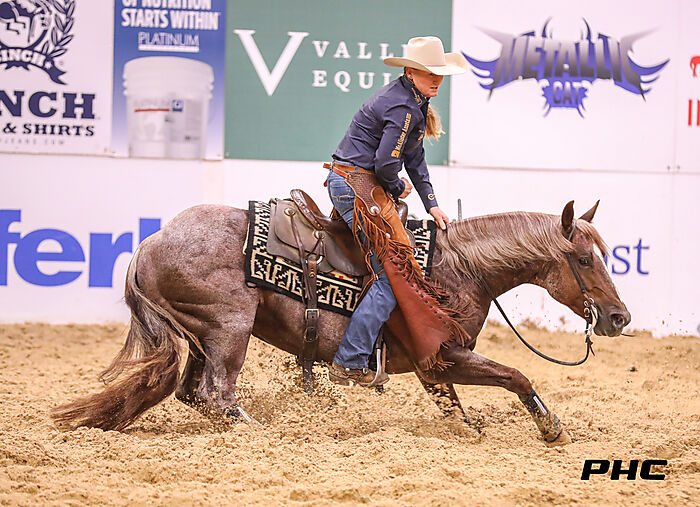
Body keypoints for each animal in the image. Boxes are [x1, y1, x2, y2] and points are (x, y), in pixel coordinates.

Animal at [52, 199, 631, 444]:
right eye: (584, 258)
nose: (619, 317)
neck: (457, 269)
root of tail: (149, 243)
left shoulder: (434, 369)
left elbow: (456, 410)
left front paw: (472, 430)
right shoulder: (442, 355)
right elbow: (516, 375)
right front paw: (551, 427)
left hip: (202, 336)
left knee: (193, 392)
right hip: (229, 328)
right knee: (216, 392)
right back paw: (265, 431)